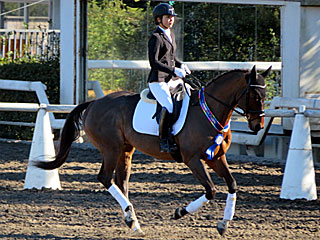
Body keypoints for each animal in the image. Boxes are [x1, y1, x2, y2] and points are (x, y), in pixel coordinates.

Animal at [35, 65, 270, 236]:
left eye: (265, 95)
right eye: (255, 96)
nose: (257, 125)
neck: (209, 110)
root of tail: (94, 103)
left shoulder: (215, 157)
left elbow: (232, 184)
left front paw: (224, 224)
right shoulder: (193, 159)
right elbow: (210, 190)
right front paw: (179, 212)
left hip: (125, 151)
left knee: (121, 182)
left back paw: (133, 222)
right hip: (111, 149)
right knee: (105, 178)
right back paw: (131, 219)